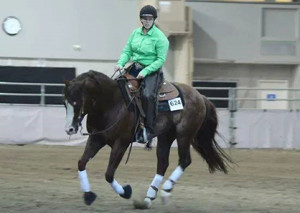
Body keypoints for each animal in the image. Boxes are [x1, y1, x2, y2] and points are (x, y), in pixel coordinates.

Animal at [63, 70, 232, 208]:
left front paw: (126, 192)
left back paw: (165, 192)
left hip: (184, 134)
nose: (69, 129)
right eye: (65, 103)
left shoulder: (121, 143)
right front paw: (88, 195)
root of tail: (200, 96)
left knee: (184, 160)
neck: (111, 103)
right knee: (163, 163)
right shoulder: (96, 139)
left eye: (77, 102)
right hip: (166, 136)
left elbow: (109, 174)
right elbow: (81, 163)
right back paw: (148, 198)